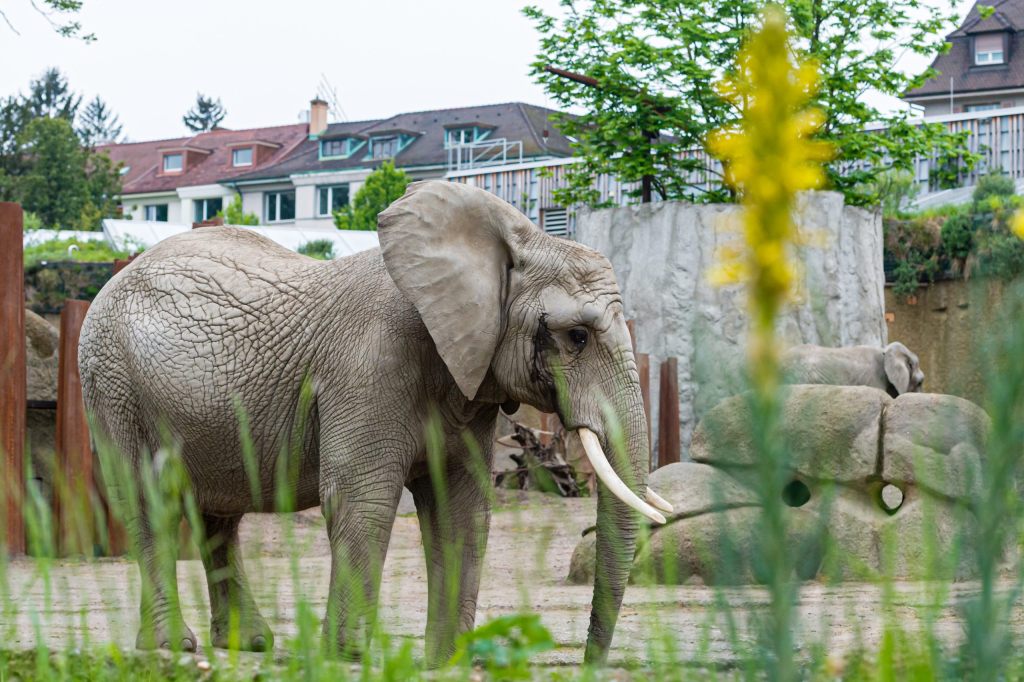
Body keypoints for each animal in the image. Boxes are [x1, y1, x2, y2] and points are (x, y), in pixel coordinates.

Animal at [79, 180, 671, 663]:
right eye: (577, 336)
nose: (588, 659)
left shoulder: (468, 383)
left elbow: (460, 508)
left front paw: (449, 659)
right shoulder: (369, 367)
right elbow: (361, 497)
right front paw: (348, 656)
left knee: (217, 516)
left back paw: (248, 645)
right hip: (111, 382)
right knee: (147, 502)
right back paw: (170, 648)